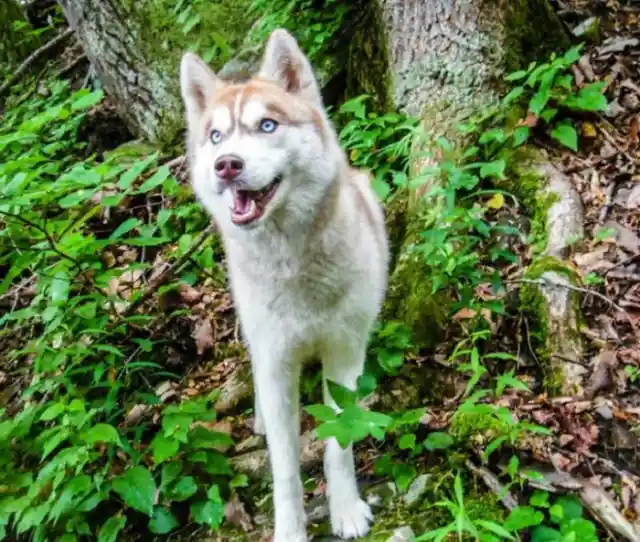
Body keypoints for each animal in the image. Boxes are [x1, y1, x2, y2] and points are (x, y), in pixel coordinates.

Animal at [178, 28, 388, 540]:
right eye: (216, 136)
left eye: (267, 125)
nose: (226, 164)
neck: (293, 265)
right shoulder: (276, 362)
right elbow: (284, 466)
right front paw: (291, 530)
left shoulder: (343, 350)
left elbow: (340, 439)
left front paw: (346, 509)